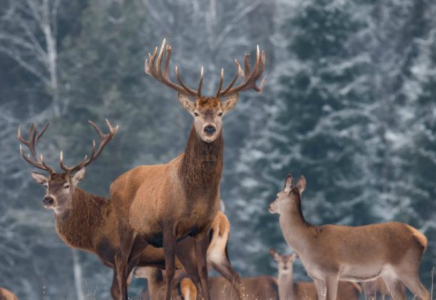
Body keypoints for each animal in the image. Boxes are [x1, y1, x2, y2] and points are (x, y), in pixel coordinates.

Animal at [17, 123, 242, 298]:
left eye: (66, 185)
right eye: (47, 185)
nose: (48, 199)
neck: (94, 232)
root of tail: (222, 220)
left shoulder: (123, 255)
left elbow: (116, 291)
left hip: (189, 251)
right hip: (217, 254)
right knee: (235, 278)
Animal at [110, 39, 266, 300]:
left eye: (220, 113)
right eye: (195, 113)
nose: (210, 128)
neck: (194, 195)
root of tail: (114, 183)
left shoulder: (201, 228)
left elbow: (202, 273)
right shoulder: (168, 224)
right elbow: (170, 272)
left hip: (145, 240)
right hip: (125, 227)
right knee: (121, 264)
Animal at [270, 173, 430, 300]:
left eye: (277, 195)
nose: (270, 206)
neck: (307, 241)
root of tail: (423, 238)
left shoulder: (331, 270)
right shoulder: (316, 277)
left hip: (406, 266)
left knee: (425, 294)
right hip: (390, 274)